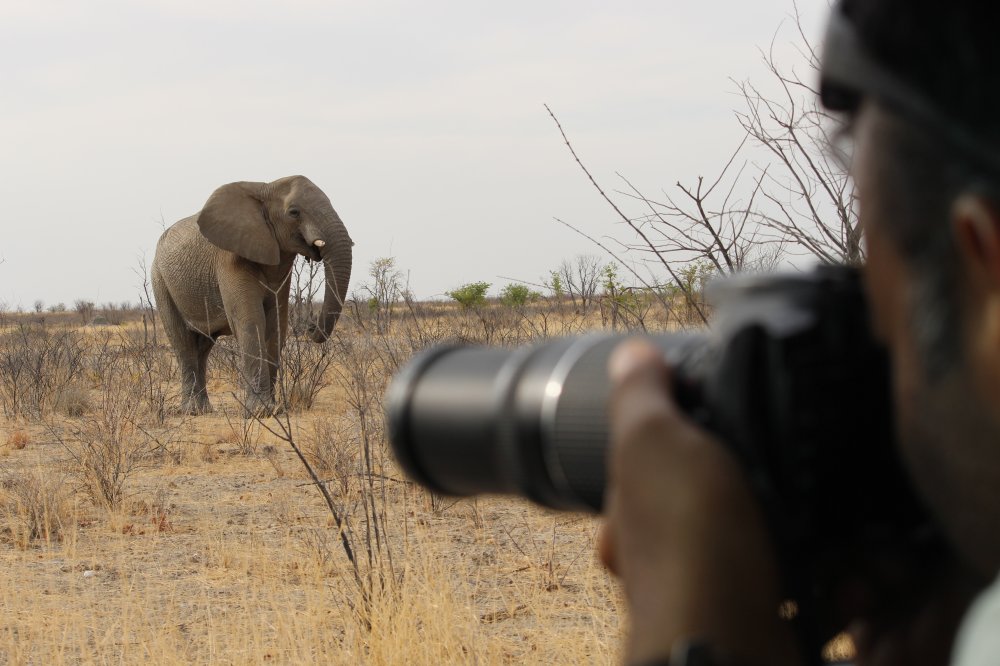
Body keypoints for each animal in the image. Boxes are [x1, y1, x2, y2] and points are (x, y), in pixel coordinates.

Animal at [148, 176, 352, 416]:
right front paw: (261, 412)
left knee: (203, 346)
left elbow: (276, 325)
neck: (265, 188)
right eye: (294, 212)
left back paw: (205, 409)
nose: (311, 326)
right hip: (160, 280)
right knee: (183, 341)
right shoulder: (230, 258)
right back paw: (193, 412)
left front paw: (275, 410)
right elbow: (251, 320)